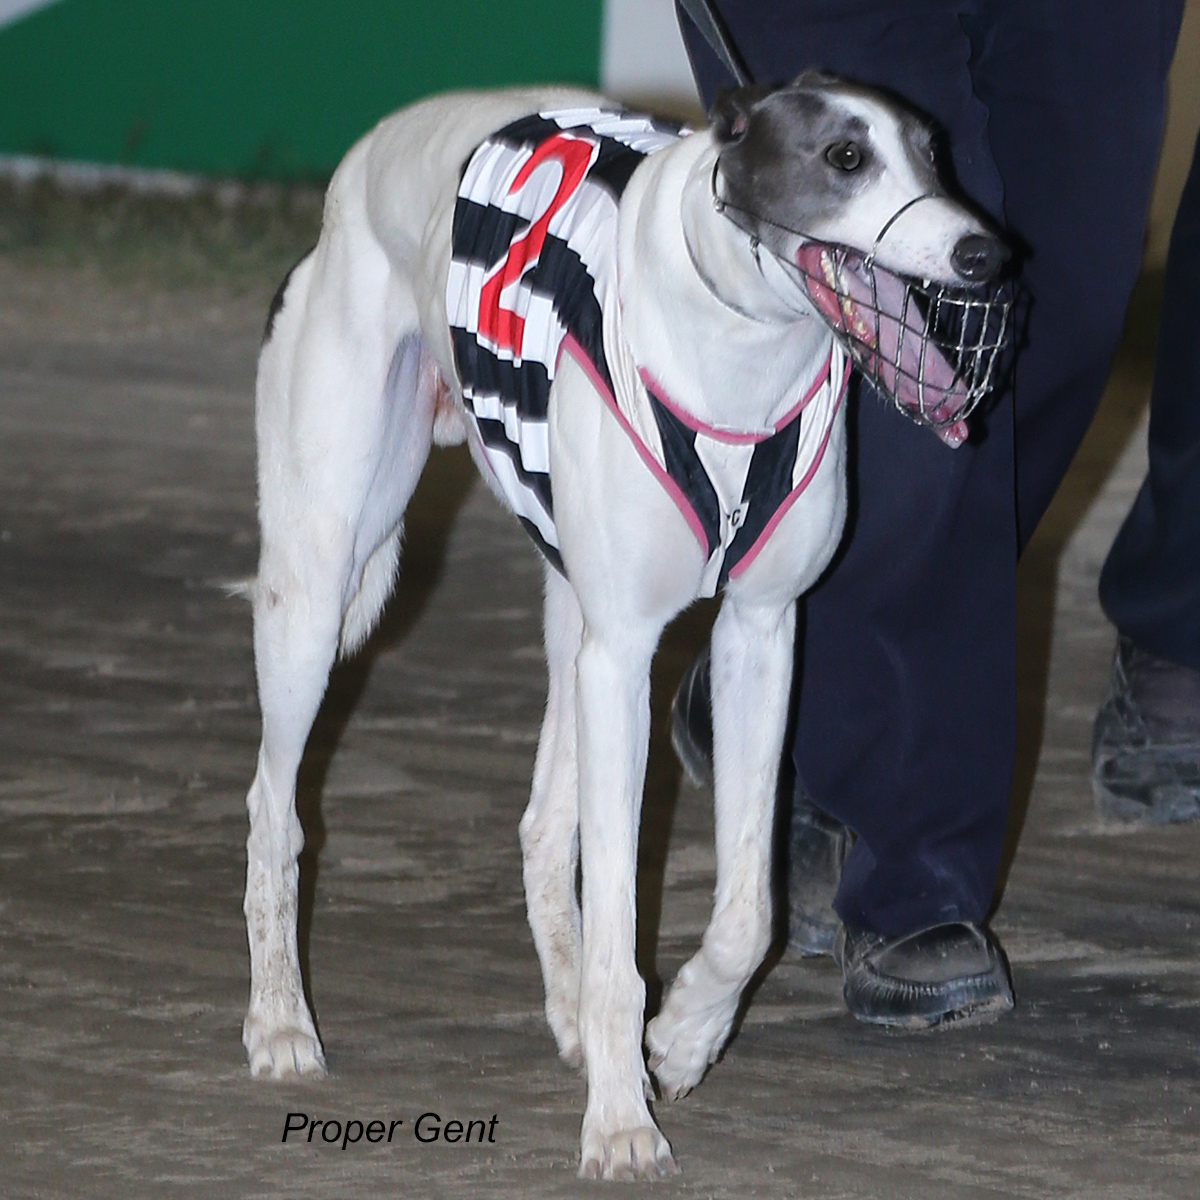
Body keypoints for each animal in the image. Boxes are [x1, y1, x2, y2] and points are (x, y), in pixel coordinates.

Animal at [240, 74, 1006, 1180]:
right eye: (845, 159)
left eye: (934, 152)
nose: (985, 256)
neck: (736, 338)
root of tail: (368, 157)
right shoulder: (630, 653)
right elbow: (618, 934)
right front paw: (619, 1125)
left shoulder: (758, 634)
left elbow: (747, 914)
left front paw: (681, 1038)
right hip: (322, 577)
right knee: (275, 804)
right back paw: (279, 1024)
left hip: (572, 622)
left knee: (540, 824)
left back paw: (568, 1018)